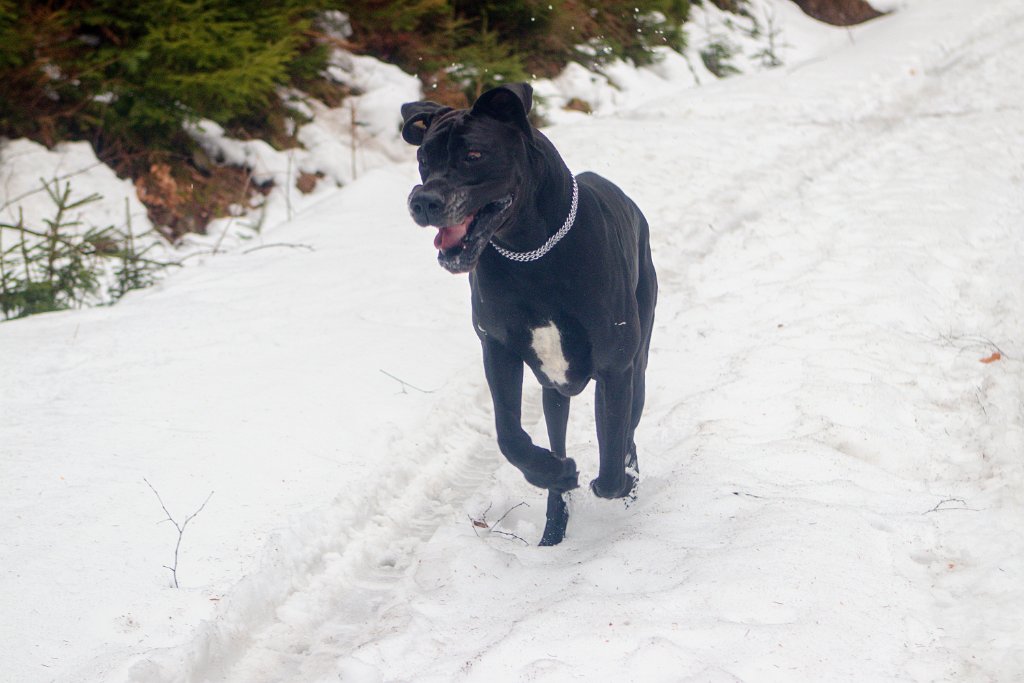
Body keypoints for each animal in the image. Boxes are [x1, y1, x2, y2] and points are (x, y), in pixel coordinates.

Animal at [399, 83, 655, 544]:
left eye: (474, 154)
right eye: (425, 158)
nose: (423, 201)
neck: (531, 252)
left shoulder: (615, 366)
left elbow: (611, 454)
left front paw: (616, 481)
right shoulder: (497, 348)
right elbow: (509, 435)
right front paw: (553, 472)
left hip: (638, 364)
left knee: (628, 431)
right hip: (554, 392)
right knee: (557, 435)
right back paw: (554, 518)